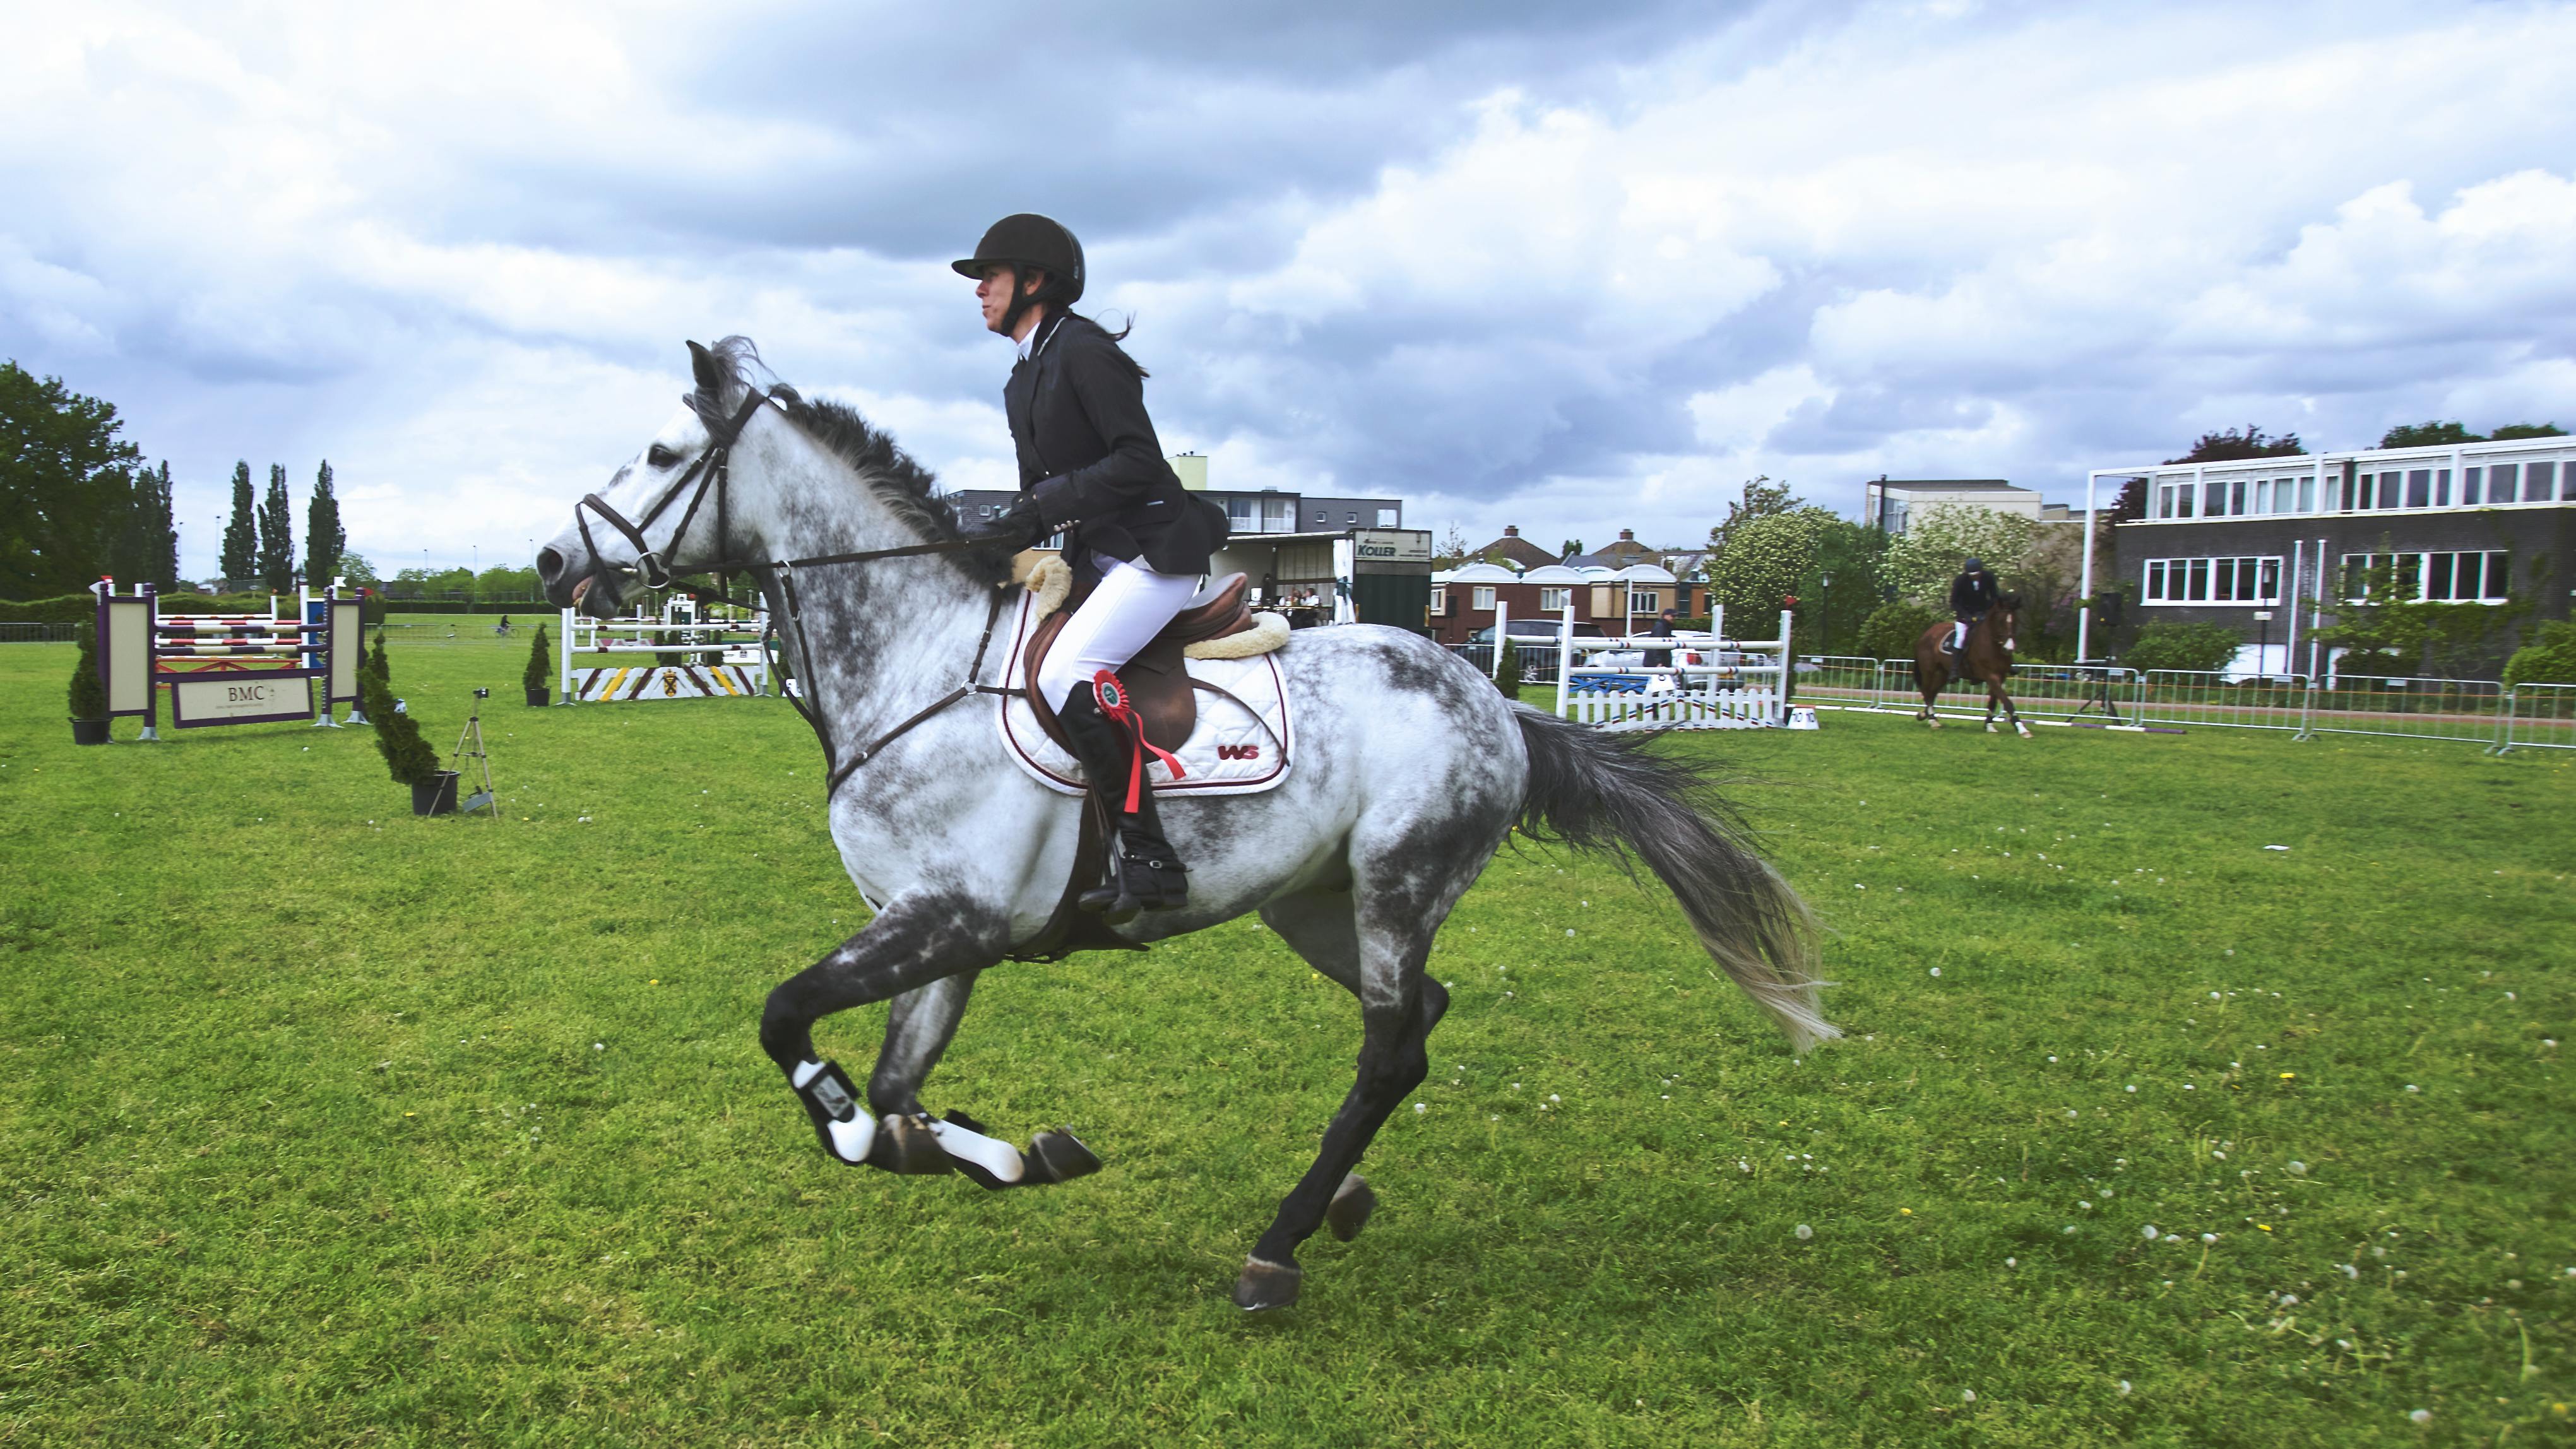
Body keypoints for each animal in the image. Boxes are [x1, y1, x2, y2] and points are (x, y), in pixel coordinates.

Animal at [538, 340, 1834, 1318]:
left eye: (662, 456)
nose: (555, 561)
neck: (915, 660)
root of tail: (1494, 700)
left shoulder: (949, 918)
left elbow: (792, 1028)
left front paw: (905, 1133)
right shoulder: (941, 935)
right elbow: (899, 1100)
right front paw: (1009, 1152)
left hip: (1398, 882)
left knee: (1389, 1050)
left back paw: (1278, 1246)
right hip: (1317, 905)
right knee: (1417, 1019)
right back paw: (1338, 1204)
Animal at [1906, 591, 2019, 736]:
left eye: (2016, 621)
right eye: (2000, 621)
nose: (2009, 648)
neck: (1992, 645)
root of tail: (1925, 635)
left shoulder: (2001, 675)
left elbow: (1994, 701)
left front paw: (1989, 725)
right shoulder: (1990, 675)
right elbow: (2006, 700)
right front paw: (2021, 728)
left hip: (1943, 674)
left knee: (1932, 692)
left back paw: (1925, 715)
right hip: (1929, 671)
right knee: (1927, 692)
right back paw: (1932, 720)